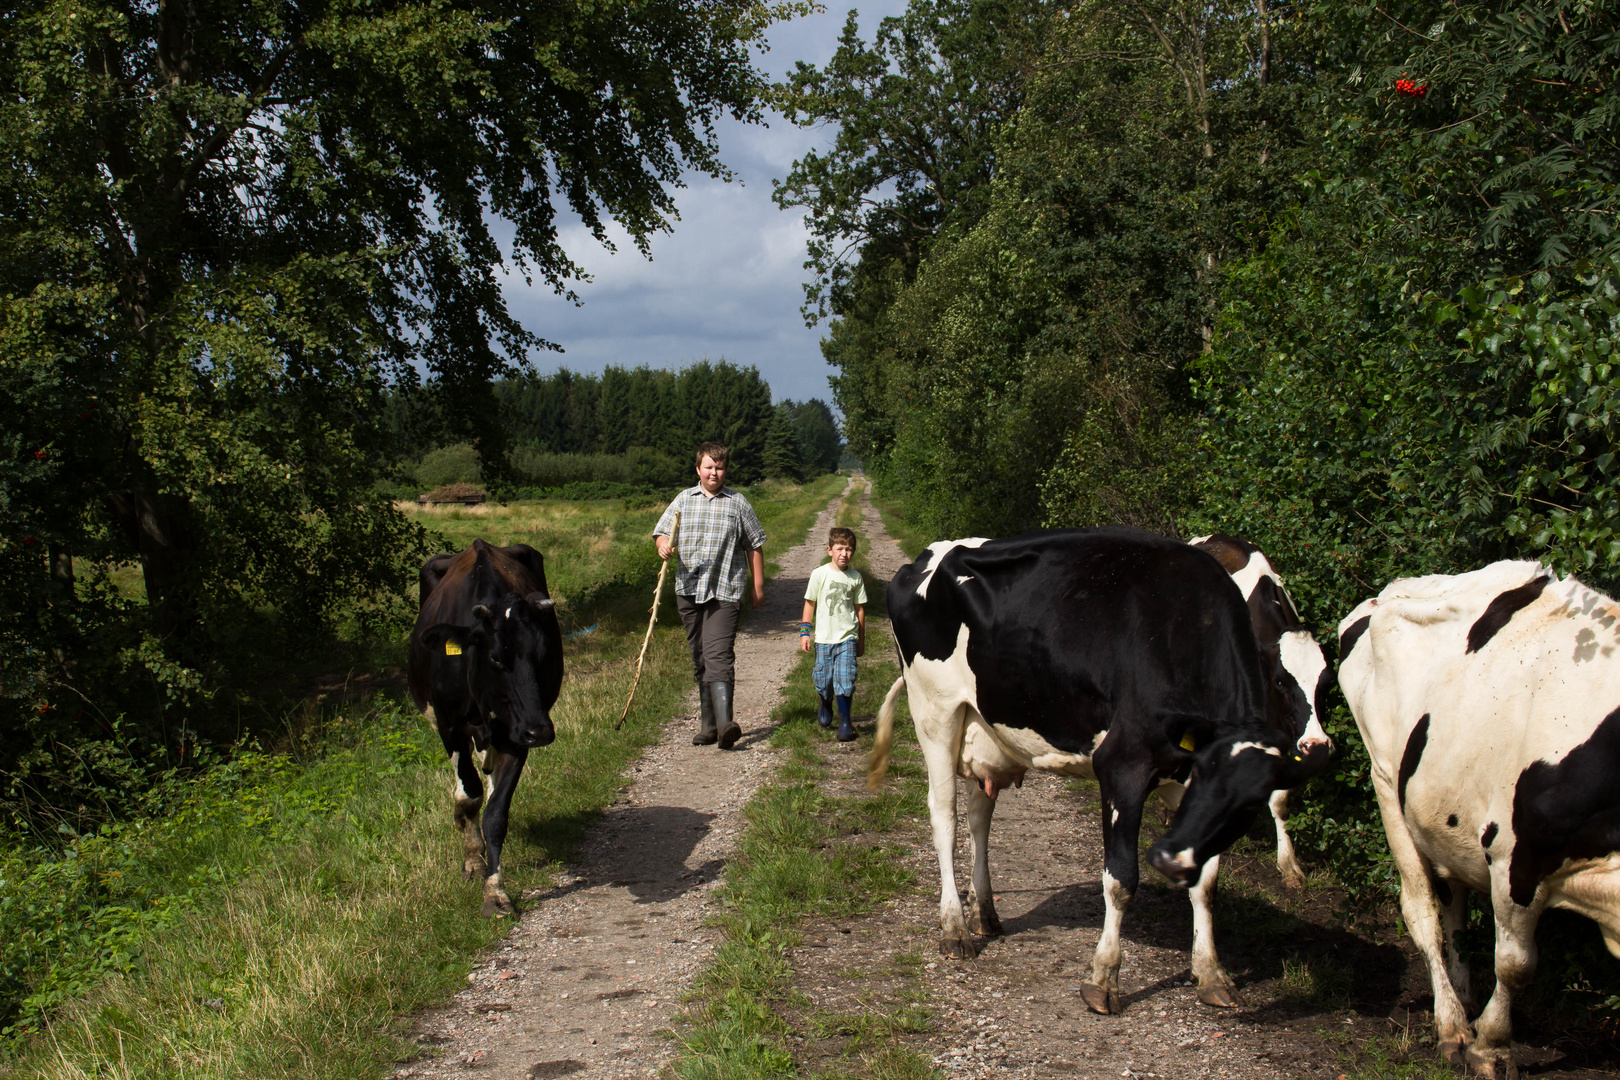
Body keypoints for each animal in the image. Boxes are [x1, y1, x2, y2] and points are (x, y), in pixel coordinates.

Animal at [408, 537, 567, 913]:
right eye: (495, 658)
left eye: (543, 656)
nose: (542, 731)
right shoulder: (449, 726)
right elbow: (469, 796)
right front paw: (473, 860)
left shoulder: (516, 732)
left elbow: (495, 813)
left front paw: (495, 891)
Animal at [1341, 563, 1620, 1075]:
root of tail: (1386, 594)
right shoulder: (1515, 857)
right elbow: (1516, 963)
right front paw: (1491, 1048)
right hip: (1387, 782)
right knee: (1423, 912)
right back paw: (1452, 1025)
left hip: (1441, 810)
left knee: (1452, 906)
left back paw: (1464, 998)